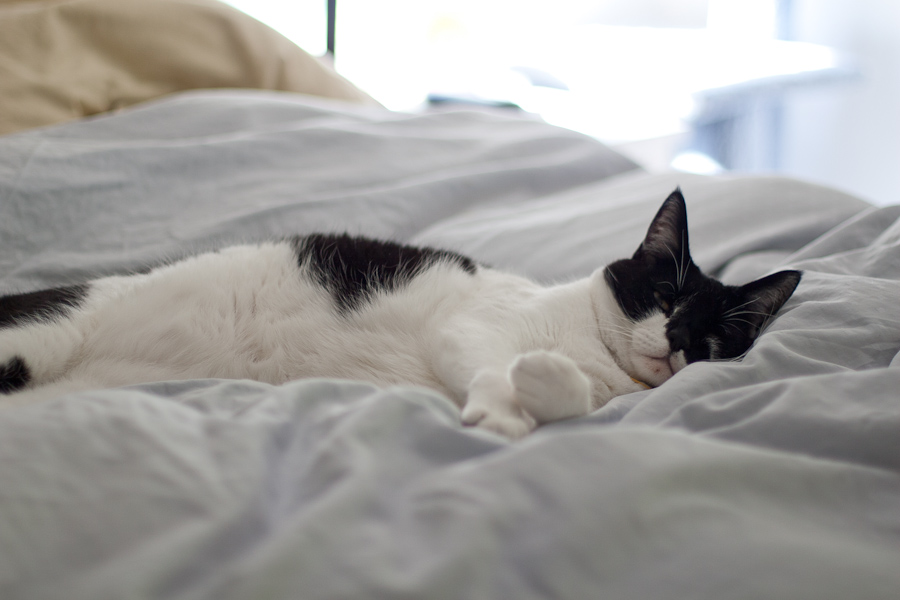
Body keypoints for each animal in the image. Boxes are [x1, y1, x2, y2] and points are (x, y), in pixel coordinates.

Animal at [0, 190, 800, 438]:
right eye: (665, 296)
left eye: (712, 338)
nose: (675, 337)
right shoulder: (471, 330)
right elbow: (500, 370)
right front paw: (507, 408)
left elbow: (566, 399)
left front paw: (543, 391)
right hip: (45, 333)